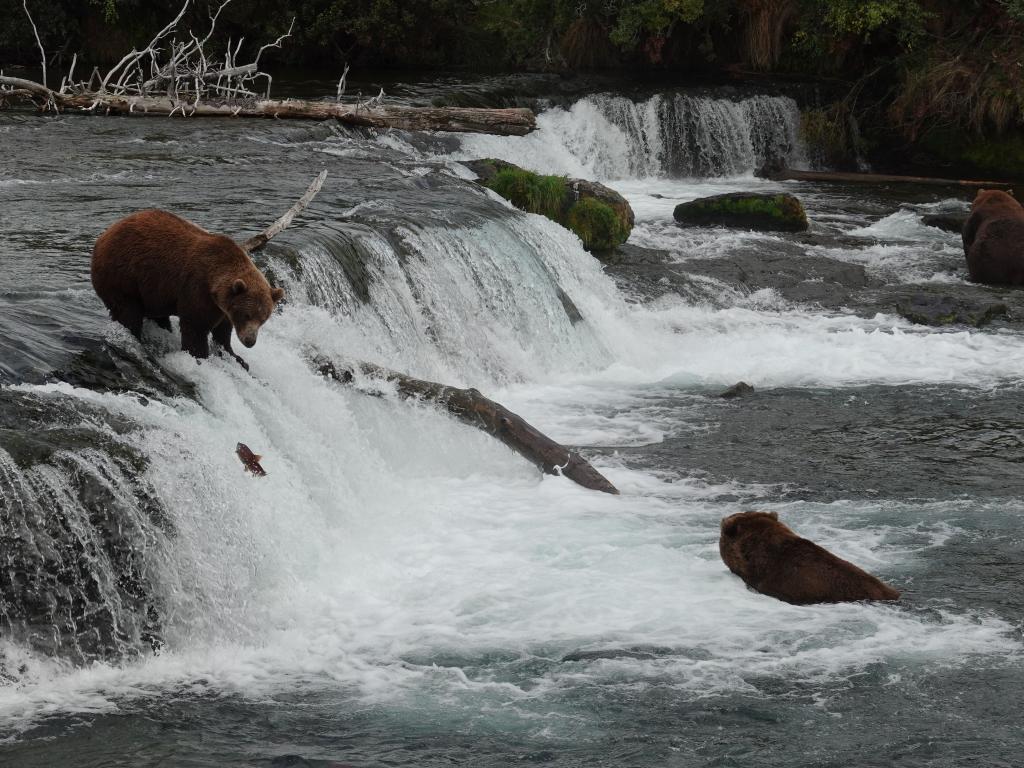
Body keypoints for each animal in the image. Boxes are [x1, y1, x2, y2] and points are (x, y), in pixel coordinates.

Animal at [92, 208, 284, 368]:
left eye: (263, 318)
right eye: (247, 315)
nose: (250, 341)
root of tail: (104, 235)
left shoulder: (223, 308)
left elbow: (223, 331)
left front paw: (236, 357)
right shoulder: (197, 290)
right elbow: (195, 327)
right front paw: (201, 357)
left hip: (152, 291)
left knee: (157, 314)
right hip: (123, 276)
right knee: (128, 312)